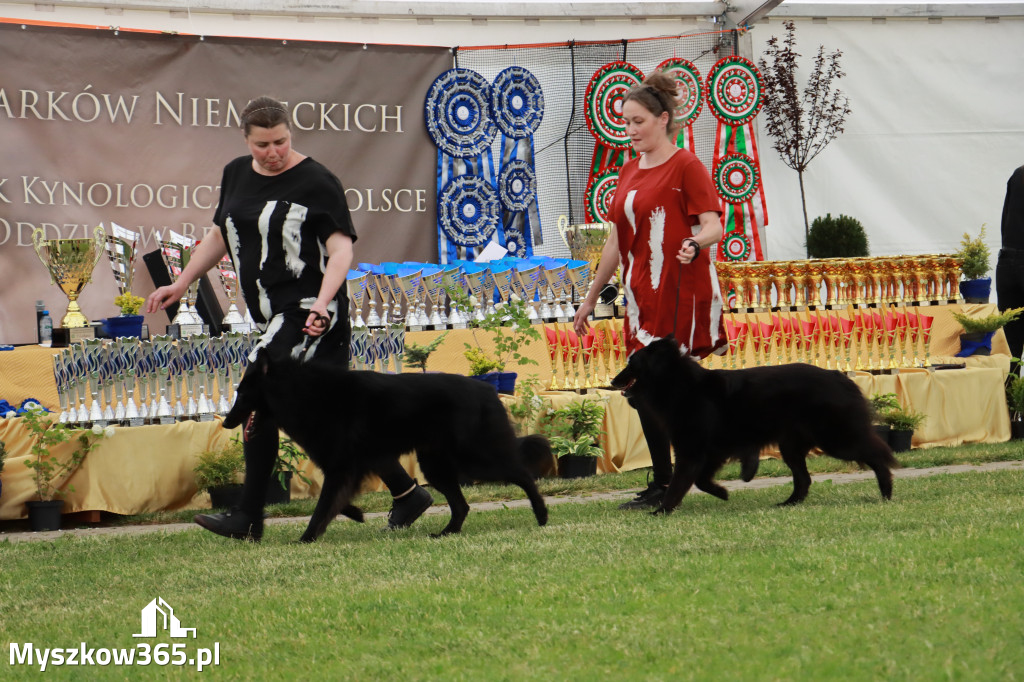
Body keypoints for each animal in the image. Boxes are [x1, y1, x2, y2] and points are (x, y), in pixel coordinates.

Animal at [220, 350, 548, 540]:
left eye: (242, 393)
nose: (224, 423)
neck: (306, 393)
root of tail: (487, 390)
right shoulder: (347, 467)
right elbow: (333, 502)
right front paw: (355, 513)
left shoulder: (341, 468)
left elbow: (322, 505)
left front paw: (307, 538)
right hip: (437, 466)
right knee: (462, 505)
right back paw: (446, 533)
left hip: (474, 458)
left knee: (523, 474)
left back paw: (542, 515)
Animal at [610, 333, 901, 509]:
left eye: (631, 363)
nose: (612, 381)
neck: (680, 385)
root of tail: (839, 376)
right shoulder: (710, 452)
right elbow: (701, 480)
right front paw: (723, 492)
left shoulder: (691, 451)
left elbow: (679, 484)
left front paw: (662, 510)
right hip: (792, 447)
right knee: (804, 479)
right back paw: (789, 503)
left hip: (835, 439)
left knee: (878, 454)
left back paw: (887, 491)